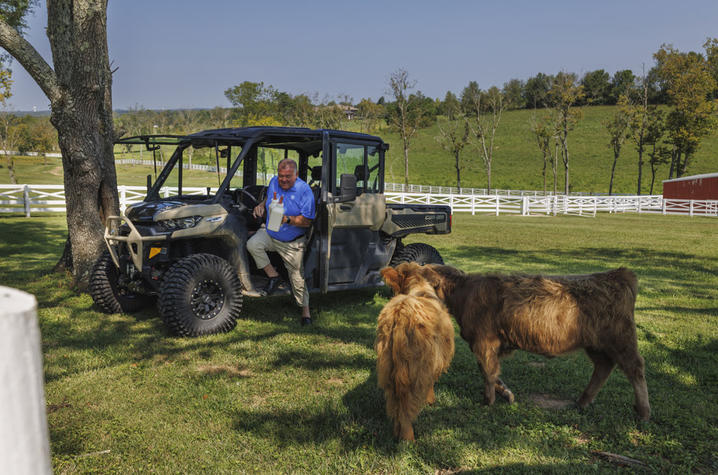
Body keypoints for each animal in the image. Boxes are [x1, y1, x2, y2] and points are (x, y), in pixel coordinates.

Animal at [388, 262, 652, 422]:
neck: (464, 294)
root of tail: (618, 274)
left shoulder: (484, 342)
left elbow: (488, 372)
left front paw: (488, 401)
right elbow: (491, 372)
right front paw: (505, 394)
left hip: (621, 339)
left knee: (635, 369)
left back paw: (643, 411)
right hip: (596, 344)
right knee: (603, 367)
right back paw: (583, 401)